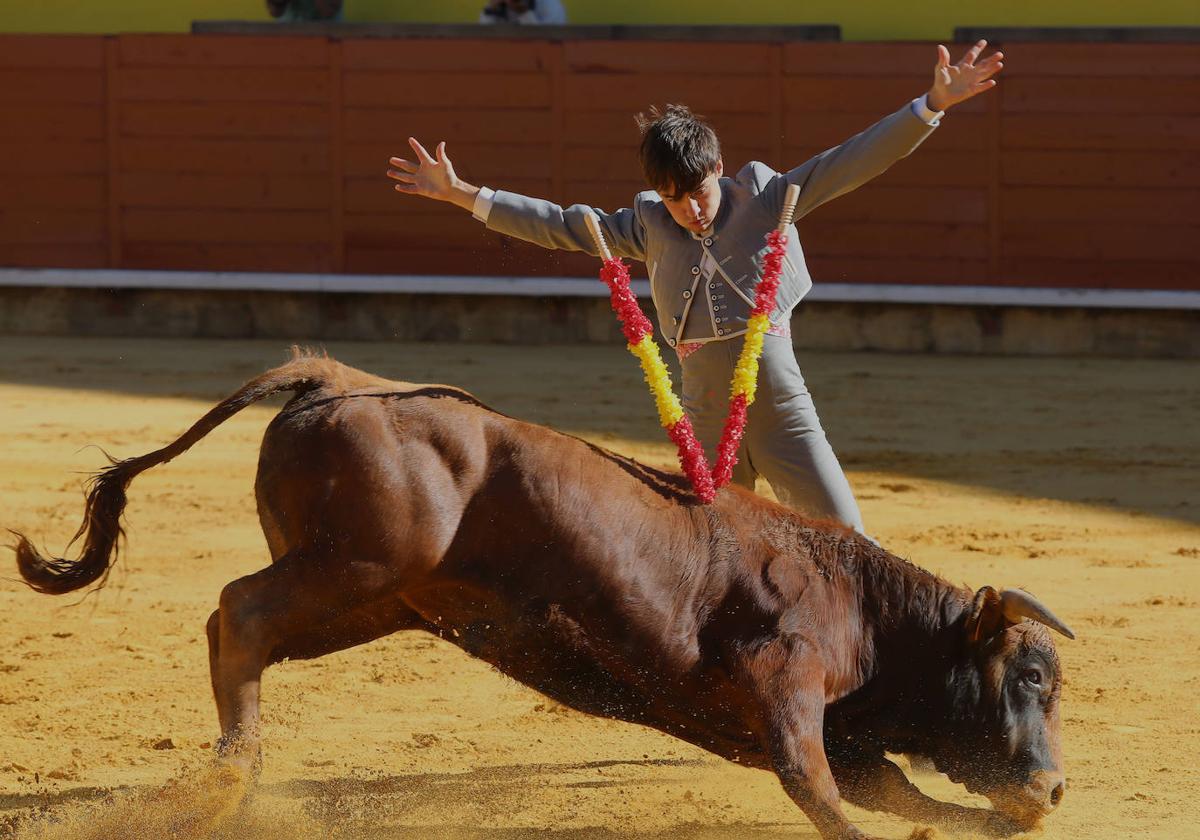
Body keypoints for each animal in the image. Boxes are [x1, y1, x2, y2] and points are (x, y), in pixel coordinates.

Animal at [14, 355, 1075, 840]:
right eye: (1030, 676)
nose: (1057, 784)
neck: (870, 609)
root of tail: (334, 376)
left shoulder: (850, 739)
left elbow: (892, 791)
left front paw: (1006, 818)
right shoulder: (785, 677)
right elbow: (814, 785)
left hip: (375, 600)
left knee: (244, 627)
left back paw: (230, 779)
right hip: (351, 572)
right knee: (236, 611)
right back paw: (230, 781)